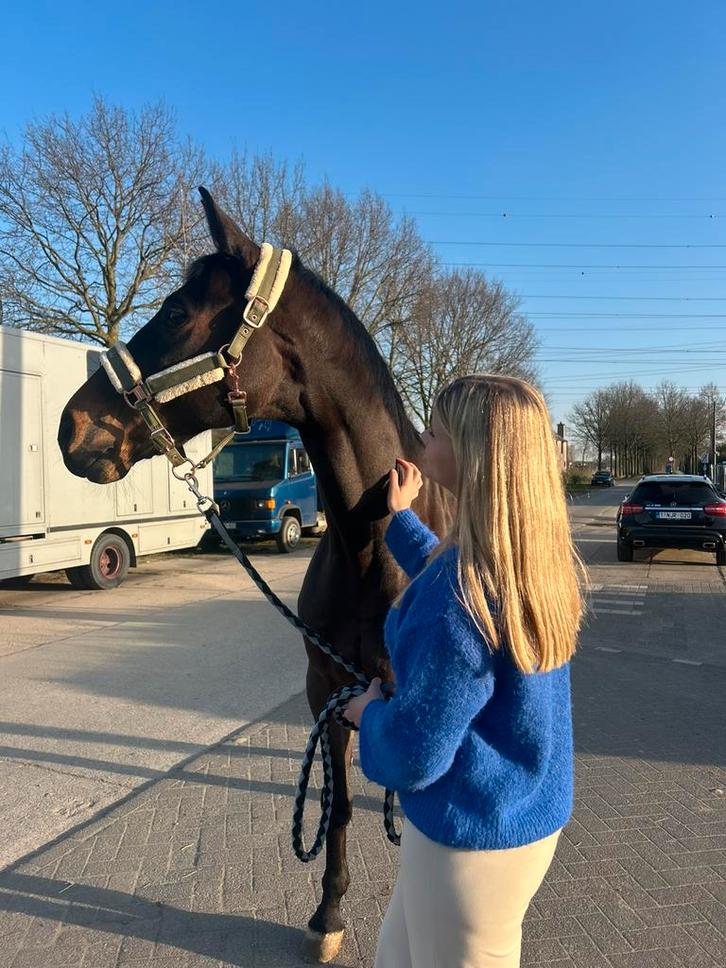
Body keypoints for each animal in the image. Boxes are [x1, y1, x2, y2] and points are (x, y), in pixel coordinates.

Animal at [58, 188, 455, 962]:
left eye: (176, 312)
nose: (72, 428)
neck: (374, 549)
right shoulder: (329, 690)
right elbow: (338, 806)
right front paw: (328, 916)